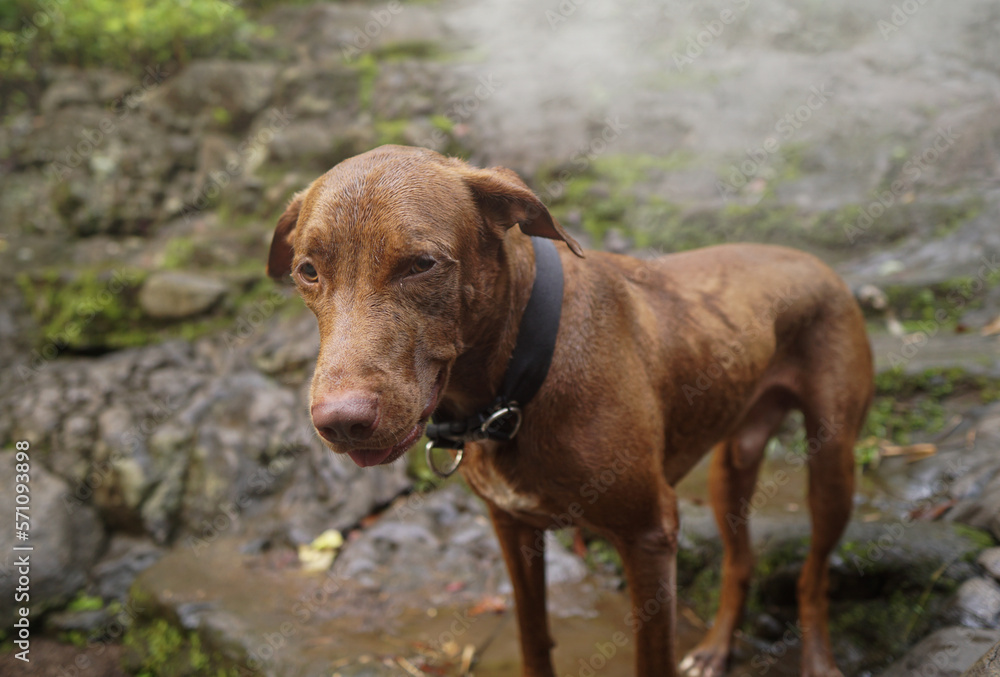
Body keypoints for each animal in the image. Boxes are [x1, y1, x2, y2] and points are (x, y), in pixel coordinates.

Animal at [270, 145, 872, 672]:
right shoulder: (512, 528)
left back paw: (819, 661)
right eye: (308, 270)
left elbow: (652, 661)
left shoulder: (650, 537)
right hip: (733, 464)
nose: (341, 422)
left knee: (812, 578)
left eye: (421, 264)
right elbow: (534, 637)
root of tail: (816, 261)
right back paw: (716, 649)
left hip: (833, 465)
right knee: (740, 561)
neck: (513, 383)